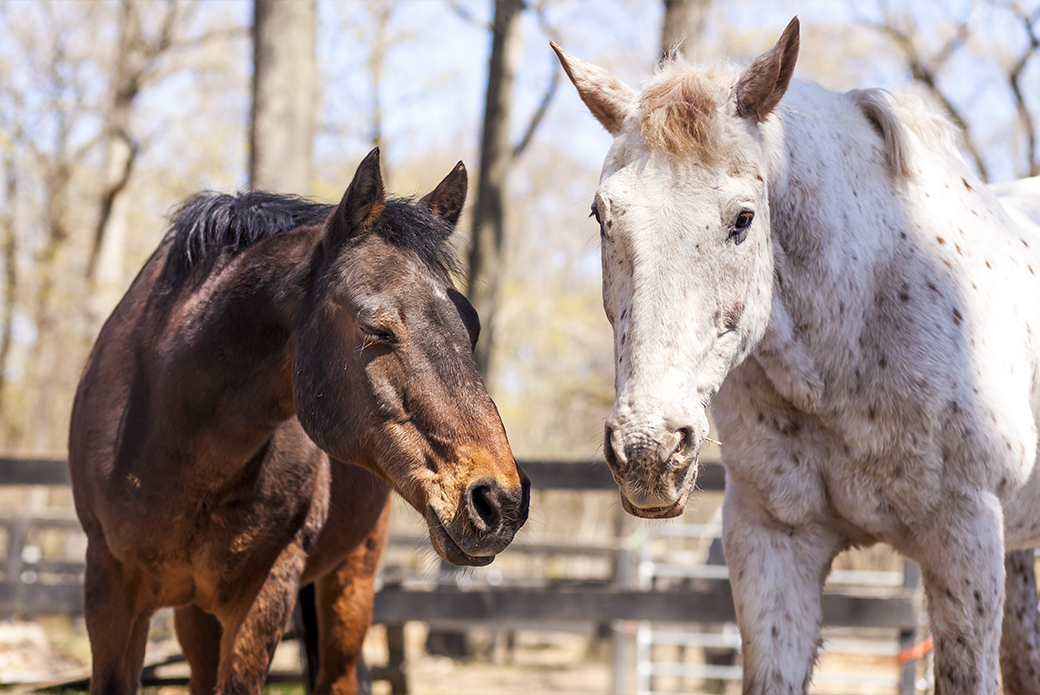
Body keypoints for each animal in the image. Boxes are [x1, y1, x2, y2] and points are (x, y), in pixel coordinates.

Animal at [68, 148, 530, 695]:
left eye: (472, 326)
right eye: (376, 328)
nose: (500, 501)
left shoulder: (266, 590)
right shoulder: (109, 591)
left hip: (350, 582)